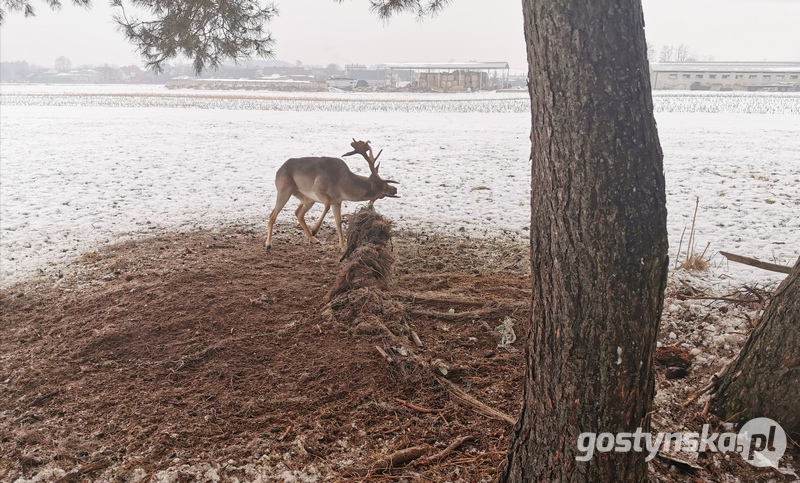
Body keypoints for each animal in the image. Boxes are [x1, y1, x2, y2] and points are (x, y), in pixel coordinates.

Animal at [264, 140, 398, 251]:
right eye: (383, 185)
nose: (395, 189)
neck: (341, 185)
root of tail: (278, 171)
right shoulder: (318, 189)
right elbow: (327, 205)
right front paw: (315, 230)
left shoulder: (338, 201)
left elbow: (338, 222)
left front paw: (343, 247)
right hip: (284, 190)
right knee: (272, 215)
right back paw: (268, 244)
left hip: (307, 199)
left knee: (298, 213)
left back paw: (313, 239)